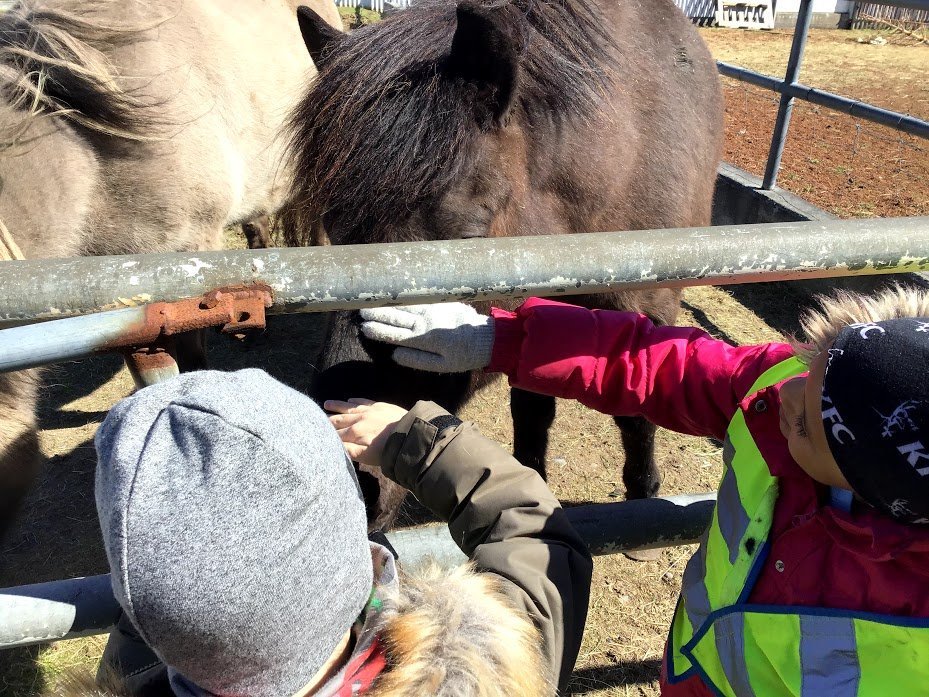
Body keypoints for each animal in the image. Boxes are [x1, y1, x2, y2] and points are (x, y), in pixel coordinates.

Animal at [287, 0, 723, 530]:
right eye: (335, 235)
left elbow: (637, 413)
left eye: (466, 243)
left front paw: (643, 498)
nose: (356, 488)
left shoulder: (651, 307)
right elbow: (531, 410)